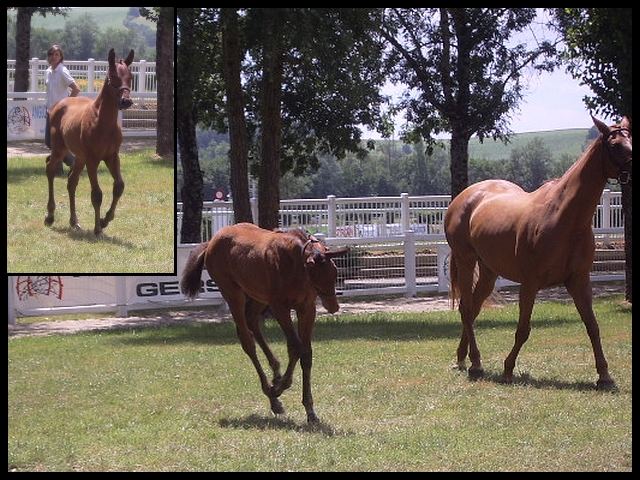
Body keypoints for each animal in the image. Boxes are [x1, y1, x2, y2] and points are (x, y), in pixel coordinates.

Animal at [44, 48, 134, 236]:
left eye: (130, 77)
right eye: (113, 76)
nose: (126, 101)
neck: (103, 123)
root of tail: (59, 104)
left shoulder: (112, 157)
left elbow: (119, 186)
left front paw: (105, 220)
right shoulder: (93, 159)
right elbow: (97, 194)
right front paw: (98, 227)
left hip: (80, 157)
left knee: (72, 182)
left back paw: (74, 221)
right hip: (60, 149)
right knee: (50, 168)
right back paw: (50, 216)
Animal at [180, 223, 350, 422]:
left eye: (334, 272)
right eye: (316, 275)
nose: (333, 306)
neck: (294, 264)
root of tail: (211, 242)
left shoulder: (307, 308)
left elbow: (306, 353)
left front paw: (309, 409)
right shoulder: (279, 307)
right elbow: (296, 347)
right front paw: (280, 388)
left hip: (258, 297)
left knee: (252, 322)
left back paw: (275, 373)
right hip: (233, 294)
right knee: (247, 340)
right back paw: (272, 395)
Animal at [444, 116, 632, 390]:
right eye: (616, 144)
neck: (564, 218)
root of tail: (463, 198)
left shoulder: (579, 281)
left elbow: (593, 326)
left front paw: (604, 376)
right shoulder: (530, 283)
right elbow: (523, 329)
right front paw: (508, 369)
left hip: (489, 272)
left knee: (473, 309)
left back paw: (463, 358)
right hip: (466, 261)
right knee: (467, 310)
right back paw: (476, 364)